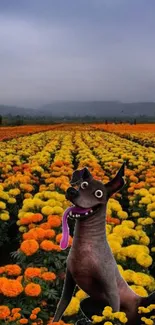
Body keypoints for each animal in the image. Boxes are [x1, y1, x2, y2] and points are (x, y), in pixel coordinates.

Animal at [52, 165, 155, 324]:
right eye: (83, 185)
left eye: (98, 193)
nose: (72, 191)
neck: (86, 247)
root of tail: (140, 301)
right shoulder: (69, 280)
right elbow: (62, 304)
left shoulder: (112, 289)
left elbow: (113, 315)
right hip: (88, 303)